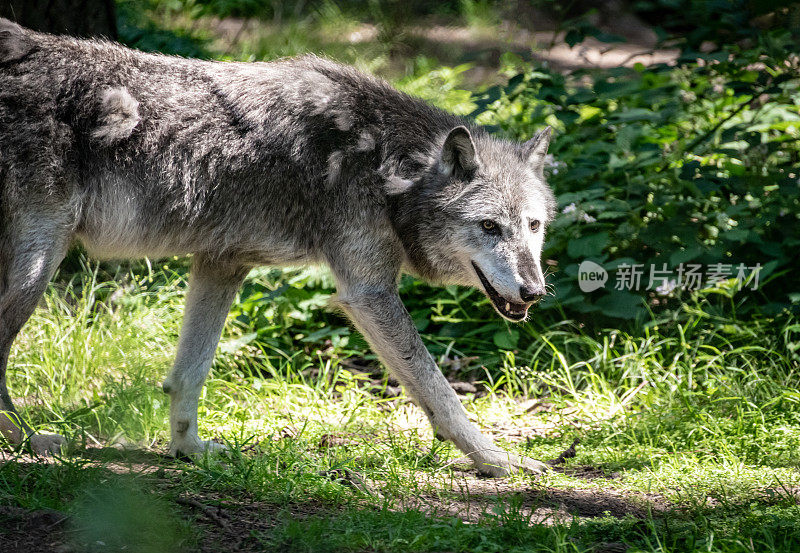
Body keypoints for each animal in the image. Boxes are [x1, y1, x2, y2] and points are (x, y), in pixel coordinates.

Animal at [1, 17, 556, 474]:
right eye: (489, 227)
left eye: (533, 226)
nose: (534, 292)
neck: (390, 171)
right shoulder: (368, 293)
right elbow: (441, 393)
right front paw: (497, 460)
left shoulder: (222, 263)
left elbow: (188, 375)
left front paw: (189, 451)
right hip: (39, 264)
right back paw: (30, 442)